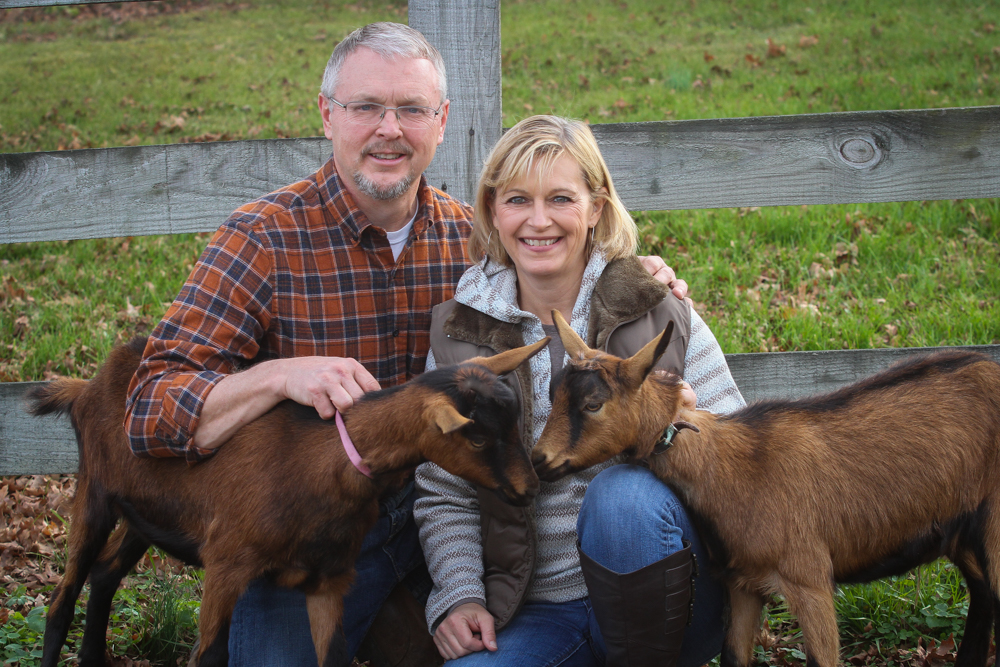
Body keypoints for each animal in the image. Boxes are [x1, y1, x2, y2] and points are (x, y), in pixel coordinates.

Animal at [31, 336, 548, 667]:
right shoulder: (226, 564)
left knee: (104, 574)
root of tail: (86, 385)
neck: (317, 462)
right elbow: (210, 656)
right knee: (62, 598)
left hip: (144, 516)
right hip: (94, 494)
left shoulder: (328, 580)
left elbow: (334, 657)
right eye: (477, 437)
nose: (531, 488)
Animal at [536, 312, 1000, 667]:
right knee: (983, 600)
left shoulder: (809, 578)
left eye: (593, 404)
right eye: (553, 395)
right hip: (967, 536)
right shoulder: (744, 583)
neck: (732, 470)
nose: (539, 459)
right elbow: (733, 657)